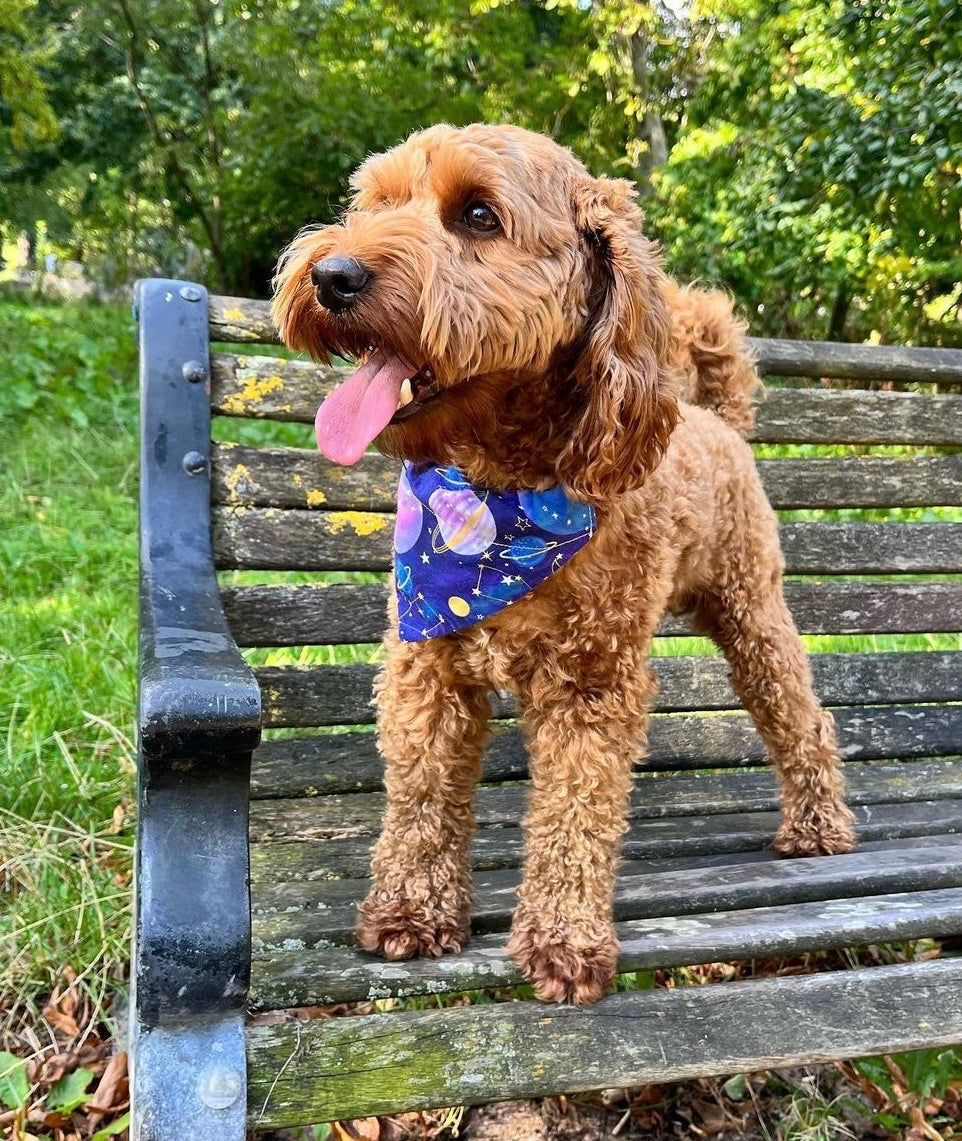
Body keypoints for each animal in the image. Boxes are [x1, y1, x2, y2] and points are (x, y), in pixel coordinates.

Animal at [272, 120, 858, 1004]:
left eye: (478, 215)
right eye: (374, 202)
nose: (332, 275)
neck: (497, 494)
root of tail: (717, 421)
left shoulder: (593, 683)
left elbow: (575, 818)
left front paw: (563, 941)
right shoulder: (426, 665)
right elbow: (421, 797)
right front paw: (411, 911)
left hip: (751, 609)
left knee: (800, 714)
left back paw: (818, 824)